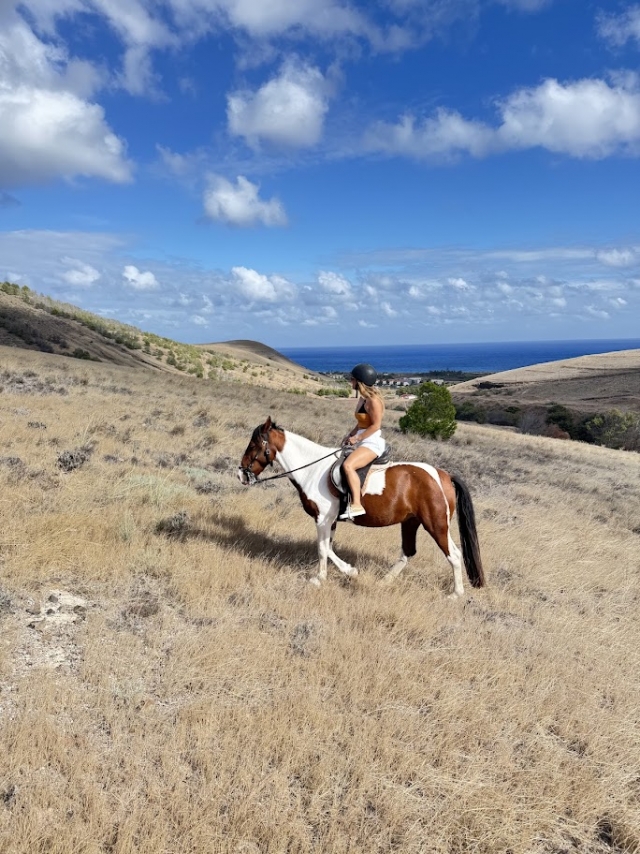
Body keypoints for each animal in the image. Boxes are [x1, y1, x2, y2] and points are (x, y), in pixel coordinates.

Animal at [238, 417, 484, 597]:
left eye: (253, 445)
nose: (241, 474)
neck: (313, 470)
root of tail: (444, 475)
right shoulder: (331, 521)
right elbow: (327, 547)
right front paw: (338, 574)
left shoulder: (322, 519)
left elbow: (322, 548)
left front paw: (330, 576)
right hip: (411, 522)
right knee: (408, 553)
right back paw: (384, 582)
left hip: (436, 524)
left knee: (454, 554)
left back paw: (456, 594)